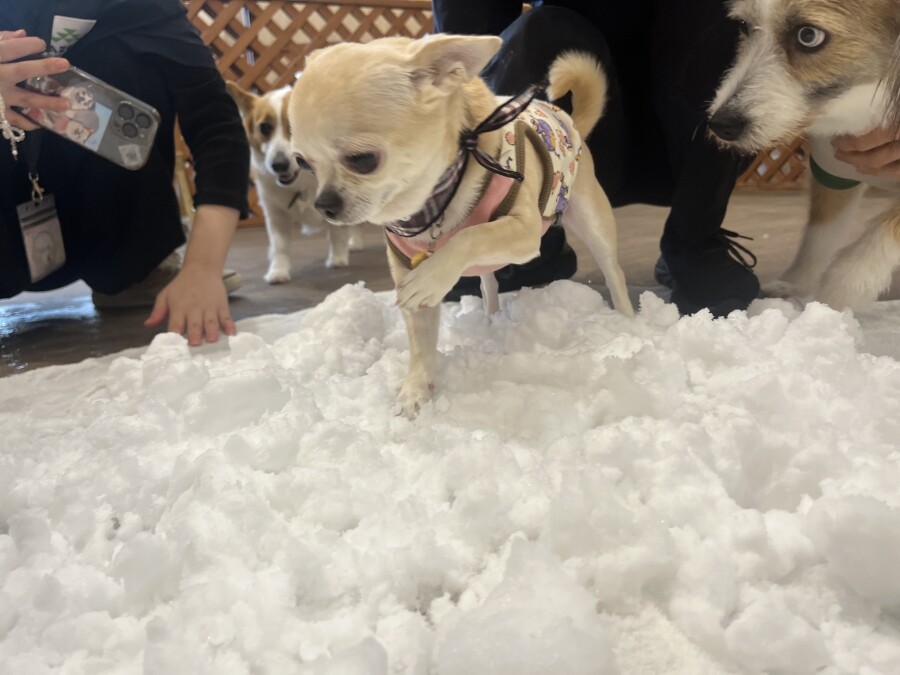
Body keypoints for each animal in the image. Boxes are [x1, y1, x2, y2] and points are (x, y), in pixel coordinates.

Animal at [227, 83, 363, 283]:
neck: (303, 181)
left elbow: (337, 234)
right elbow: (280, 246)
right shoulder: (276, 215)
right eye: (264, 127)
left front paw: (337, 259)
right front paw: (278, 271)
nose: (278, 165)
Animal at [288, 35, 634, 417]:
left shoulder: (524, 230)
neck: (430, 205)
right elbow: (420, 343)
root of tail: (567, 119)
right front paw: (414, 394)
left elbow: (469, 236)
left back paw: (630, 323)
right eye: (302, 162)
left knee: (612, 272)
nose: (324, 205)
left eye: (363, 160)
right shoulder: (406, 266)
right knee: (489, 284)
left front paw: (430, 277)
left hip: (590, 218)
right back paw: (491, 321)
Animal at [707, 0, 900, 311]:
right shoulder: (834, 170)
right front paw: (797, 285)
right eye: (744, 26)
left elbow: (882, 234)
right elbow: (821, 232)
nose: (722, 125)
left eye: (808, 36)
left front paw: (840, 295)